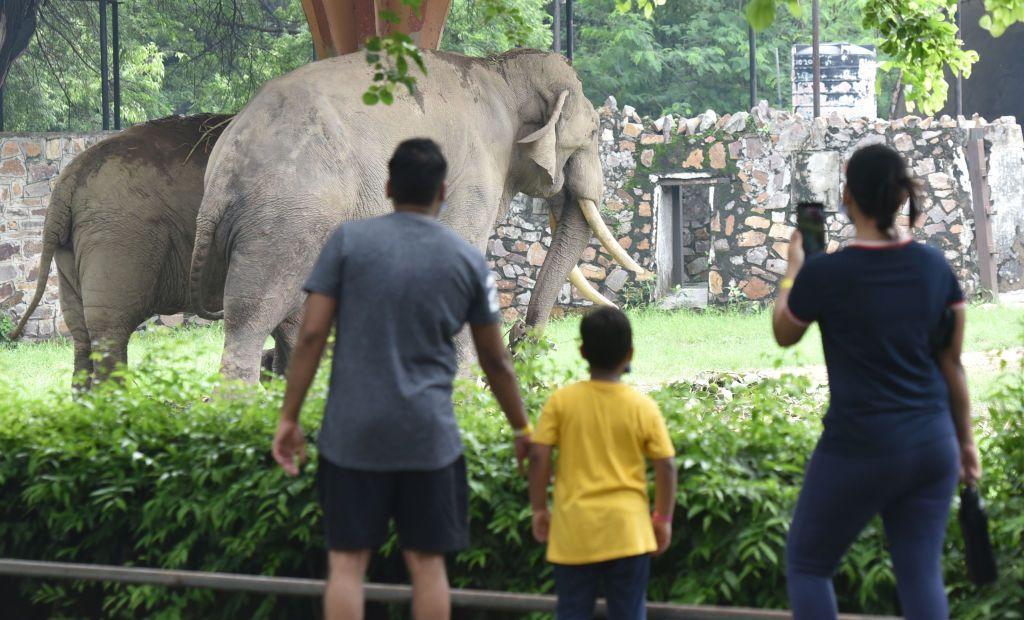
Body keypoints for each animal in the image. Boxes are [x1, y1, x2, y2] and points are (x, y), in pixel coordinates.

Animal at [188, 49, 643, 381]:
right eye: (592, 133)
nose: (520, 337)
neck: (502, 70)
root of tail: (222, 166)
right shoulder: (473, 177)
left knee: (293, 321)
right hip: (284, 221)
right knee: (252, 318)